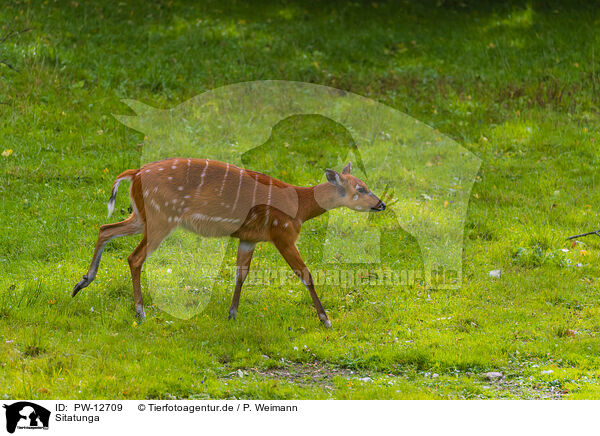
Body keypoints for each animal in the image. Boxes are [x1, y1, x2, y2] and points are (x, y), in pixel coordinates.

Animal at [72, 158, 386, 326]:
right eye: (360, 188)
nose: (381, 204)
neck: (300, 206)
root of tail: (134, 175)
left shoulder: (249, 238)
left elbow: (240, 274)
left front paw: (232, 314)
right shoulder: (282, 232)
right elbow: (306, 274)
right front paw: (325, 319)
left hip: (142, 216)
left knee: (105, 228)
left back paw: (81, 283)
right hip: (162, 218)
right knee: (134, 257)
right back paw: (141, 311)